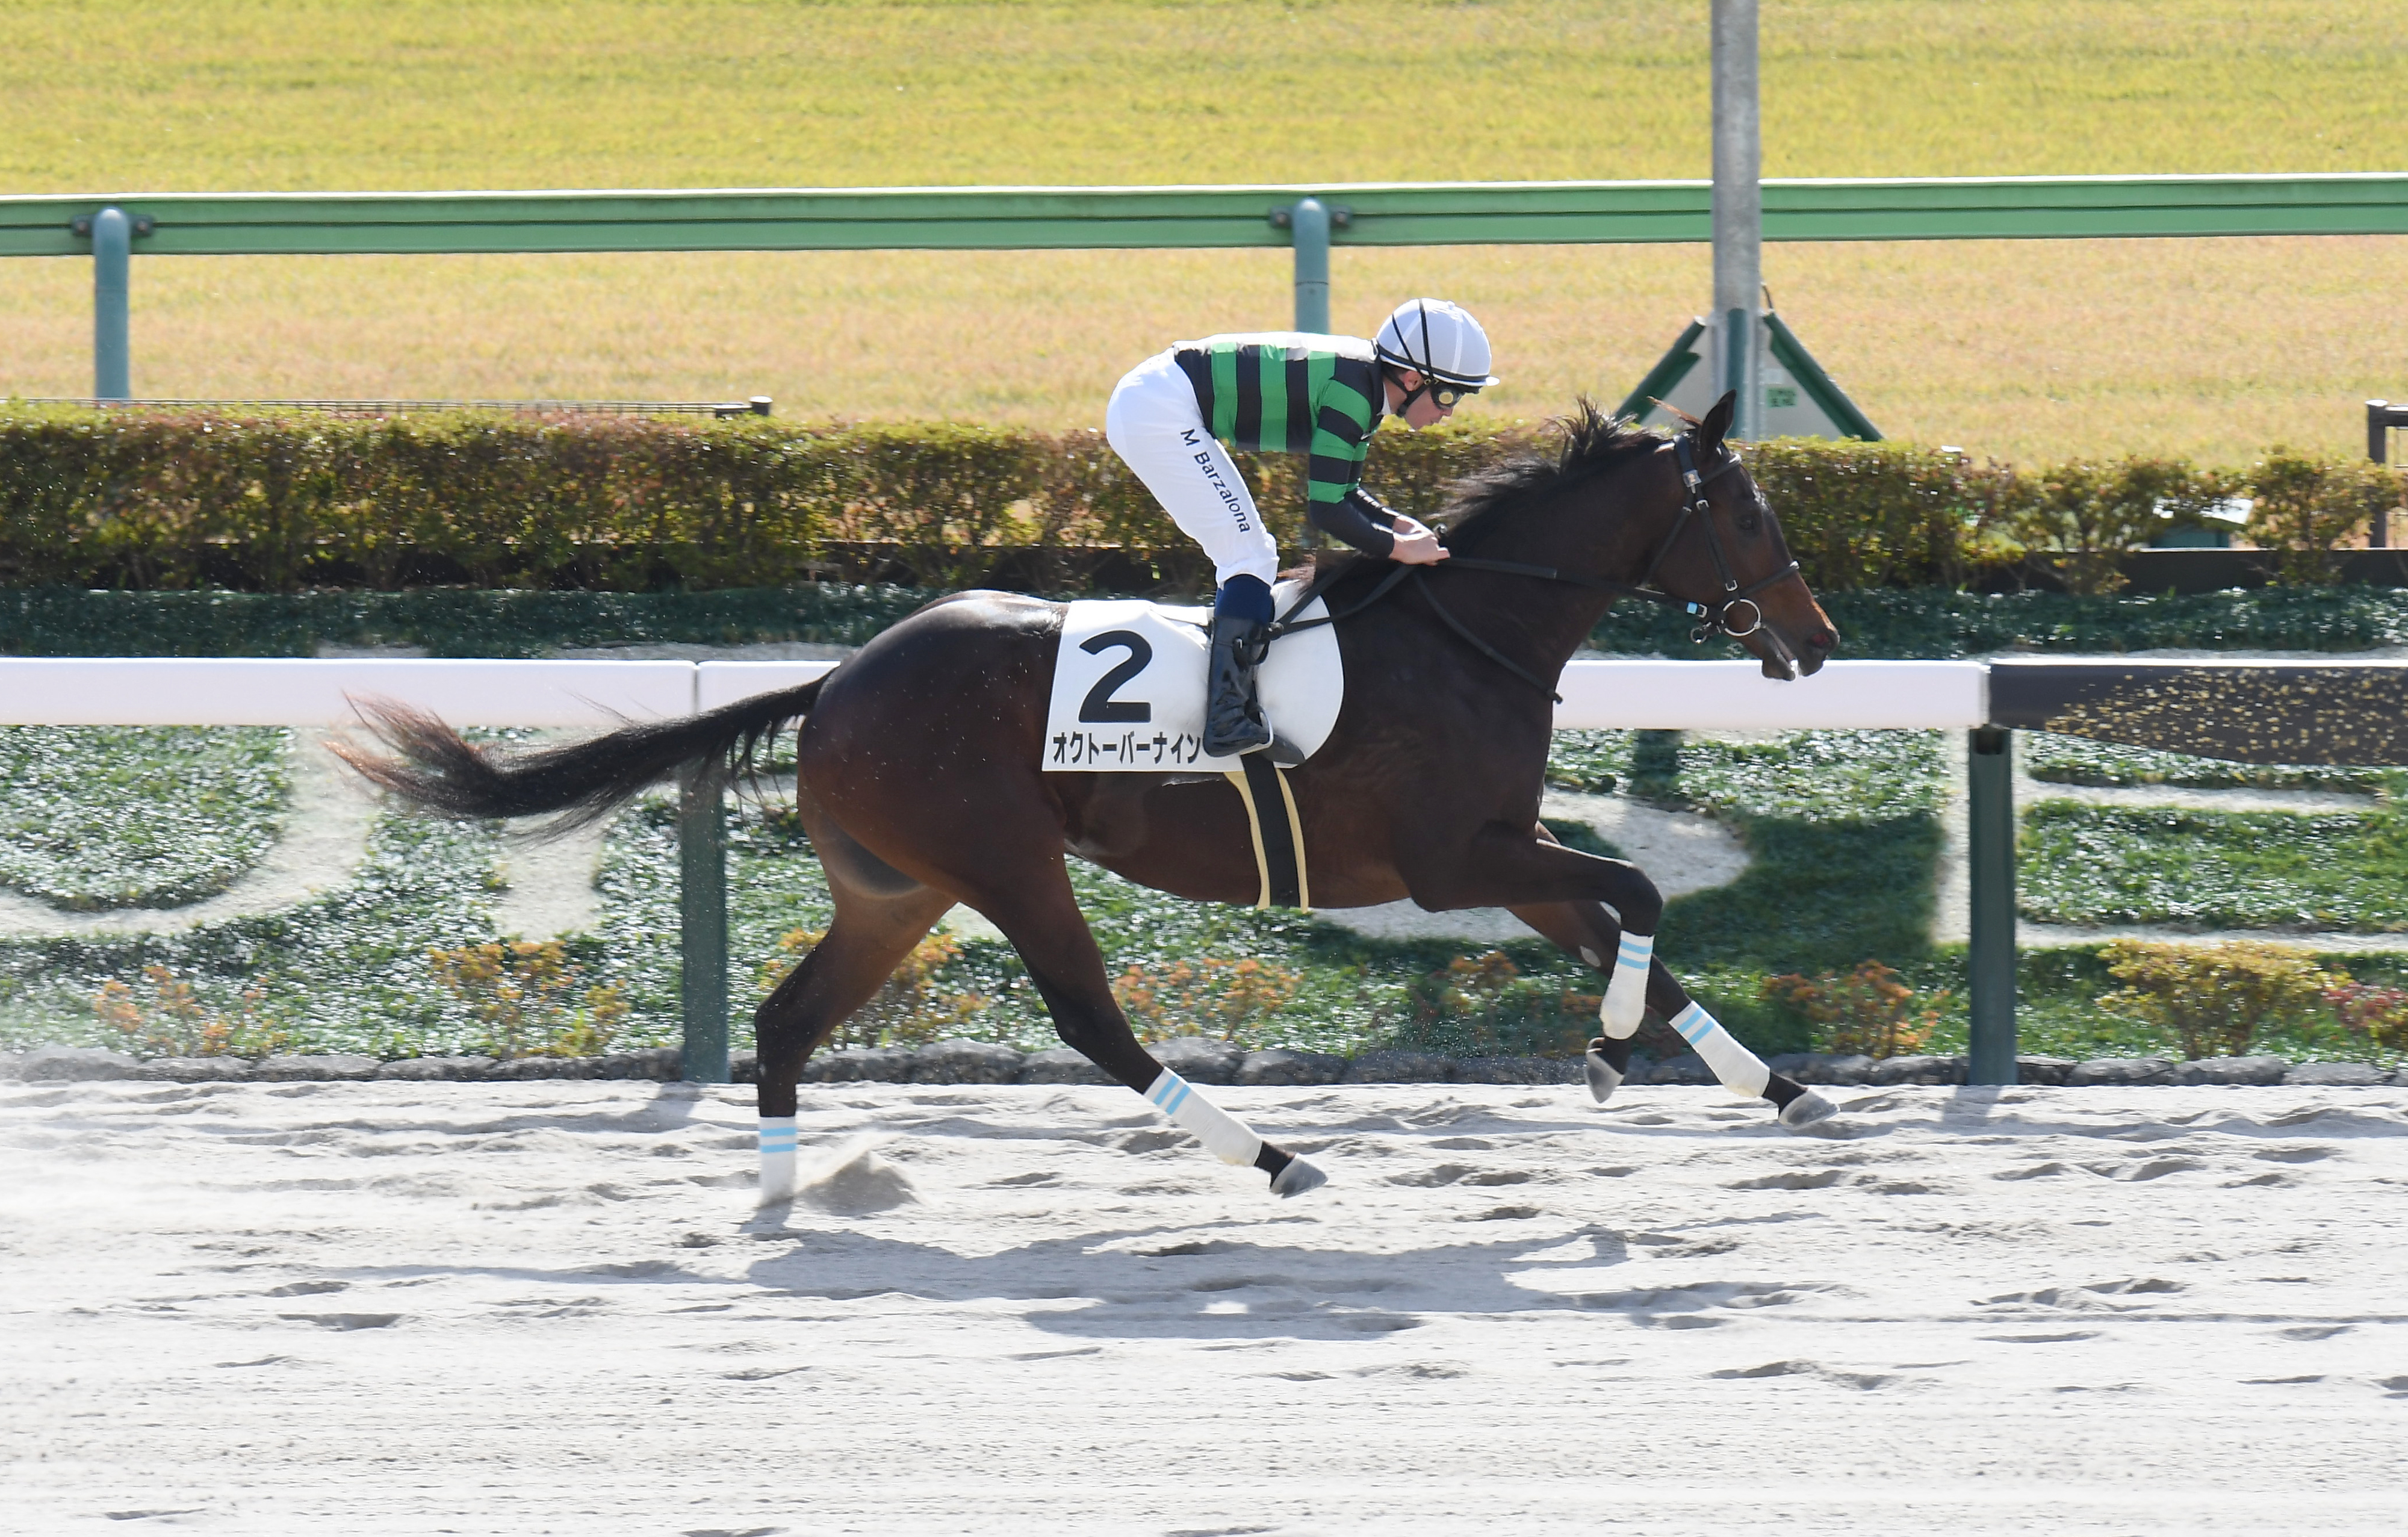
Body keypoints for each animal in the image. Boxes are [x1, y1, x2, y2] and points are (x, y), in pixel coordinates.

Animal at [337, 390, 1843, 1202]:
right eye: (1748, 514)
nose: (1816, 637)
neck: (1466, 630)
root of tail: (836, 679)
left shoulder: (1504, 850)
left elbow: (1632, 934)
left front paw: (1773, 1088)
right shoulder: (1449, 858)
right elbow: (1636, 892)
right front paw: (1608, 1054)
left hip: (895, 887)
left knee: (784, 1020)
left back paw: (781, 1194)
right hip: (1004, 859)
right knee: (1087, 1018)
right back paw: (1270, 1156)